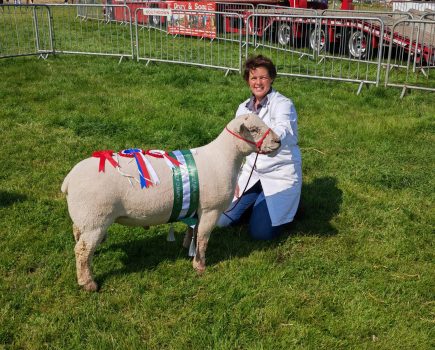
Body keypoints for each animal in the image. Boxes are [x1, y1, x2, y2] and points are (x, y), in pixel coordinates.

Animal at [61, 113, 282, 292]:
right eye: (254, 129)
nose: (278, 141)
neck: (224, 158)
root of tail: (69, 180)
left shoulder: (197, 208)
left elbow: (194, 231)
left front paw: (187, 248)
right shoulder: (211, 209)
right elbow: (203, 238)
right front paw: (200, 265)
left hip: (86, 217)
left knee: (78, 236)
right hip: (96, 218)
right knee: (81, 250)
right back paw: (88, 283)